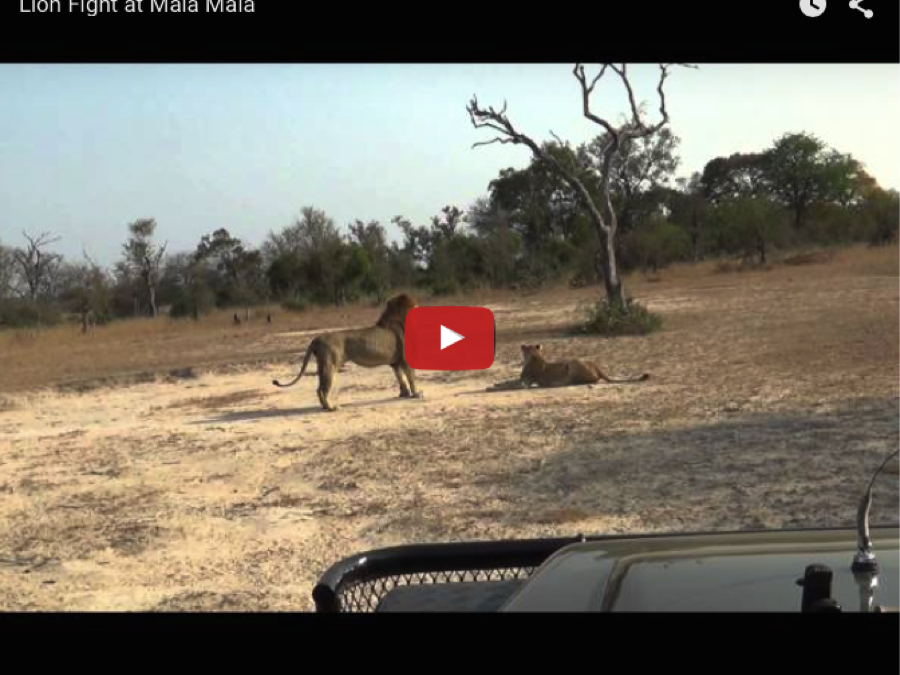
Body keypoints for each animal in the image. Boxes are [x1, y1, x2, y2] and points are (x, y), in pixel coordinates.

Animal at [272, 293, 422, 412]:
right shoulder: (405, 359)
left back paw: (326, 407)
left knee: (319, 388)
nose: (420, 307)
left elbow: (400, 377)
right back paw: (332, 408)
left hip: (322, 364)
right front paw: (416, 394)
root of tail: (317, 338)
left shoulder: (395, 362)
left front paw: (404, 393)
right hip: (330, 365)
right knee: (322, 389)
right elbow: (411, 377)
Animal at [488, 344, 649, 390]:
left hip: (571, 364)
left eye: (526, 347)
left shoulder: (525, 383)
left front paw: (491, 388)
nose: (521, 345)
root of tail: (596, 365)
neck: (535, 357)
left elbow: (509, 385)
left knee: (593, 379)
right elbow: (507, 381)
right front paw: (495, 384)